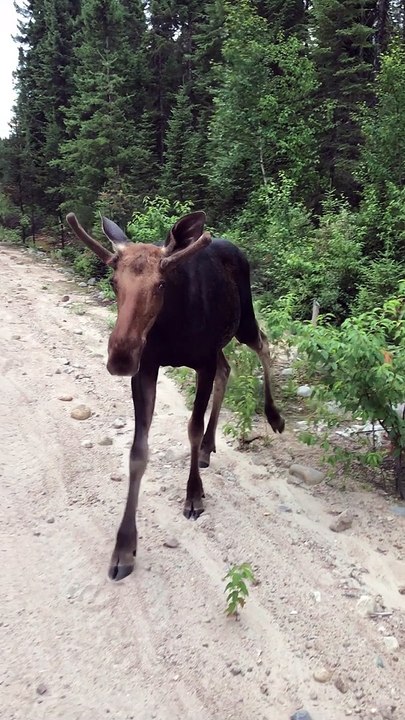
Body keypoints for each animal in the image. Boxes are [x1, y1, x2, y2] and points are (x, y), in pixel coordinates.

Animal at [66, 211, 285, 581]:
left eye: (161, 284)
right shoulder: (147, 367)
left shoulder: (202, 362)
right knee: (228, 368)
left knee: (263, 344)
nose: (121, 356)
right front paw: (124, 547)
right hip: (219, 344)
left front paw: (194, 495)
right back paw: (210, 447)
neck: (171, 326)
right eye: (113, 282)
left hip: (243, 321)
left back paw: (274, 416)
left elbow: (192, 428)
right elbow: (138, 451)